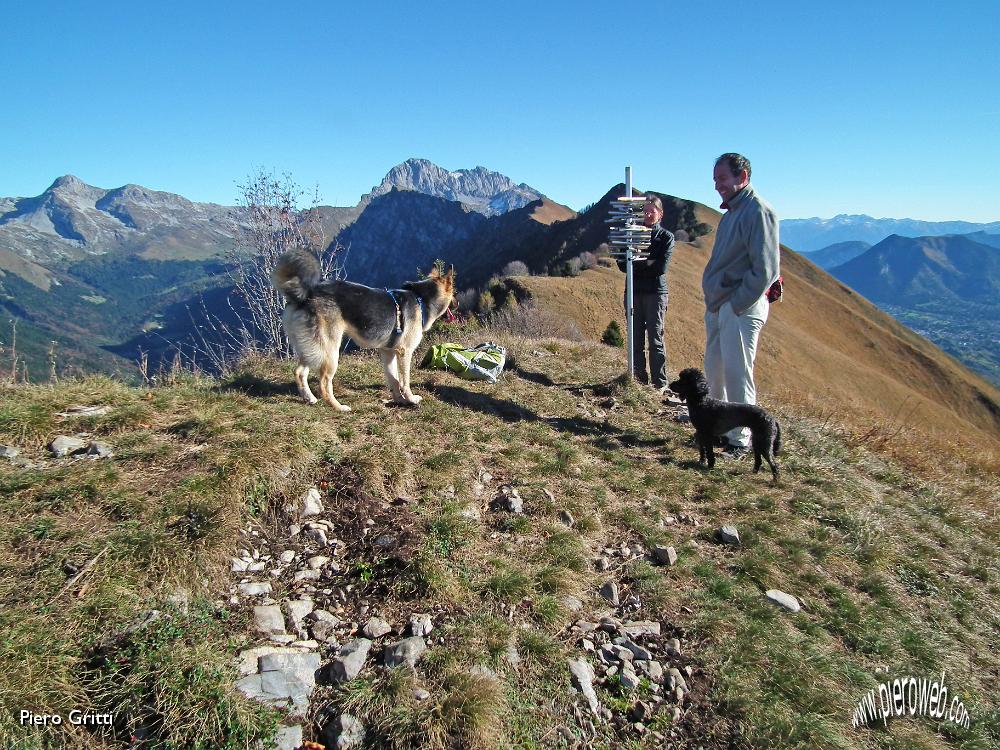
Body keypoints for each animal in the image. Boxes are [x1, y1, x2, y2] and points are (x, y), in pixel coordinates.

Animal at [266, 250, 454, 412]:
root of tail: (305, 294)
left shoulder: (388, 352)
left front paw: (399, 400)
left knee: (299, 372)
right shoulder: (404, 352)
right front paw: (410, 399)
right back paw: (338, 407)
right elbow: (404, 380)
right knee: (324, 383)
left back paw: (309, 398)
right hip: (329, 351)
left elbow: (393, 380)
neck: (420, 298)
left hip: (312, 347)